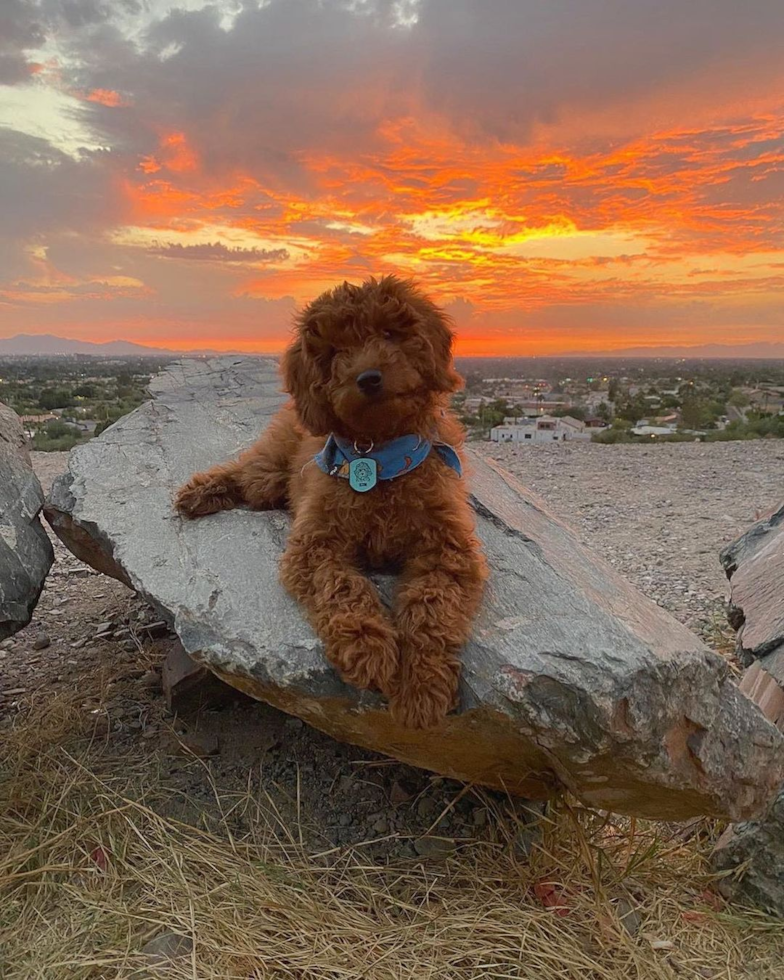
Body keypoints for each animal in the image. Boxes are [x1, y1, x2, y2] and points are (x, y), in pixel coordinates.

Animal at [175, 276, 486, 728]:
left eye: (389, 333)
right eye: (336, 351)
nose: (369, 378)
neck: (379, 457)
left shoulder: (448, 549)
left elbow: (432, 608)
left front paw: (421, 685)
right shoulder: (315, 543)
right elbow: (343, 587)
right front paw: (369, 649)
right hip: (270, 472)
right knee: (243, 472)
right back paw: (197, 494)